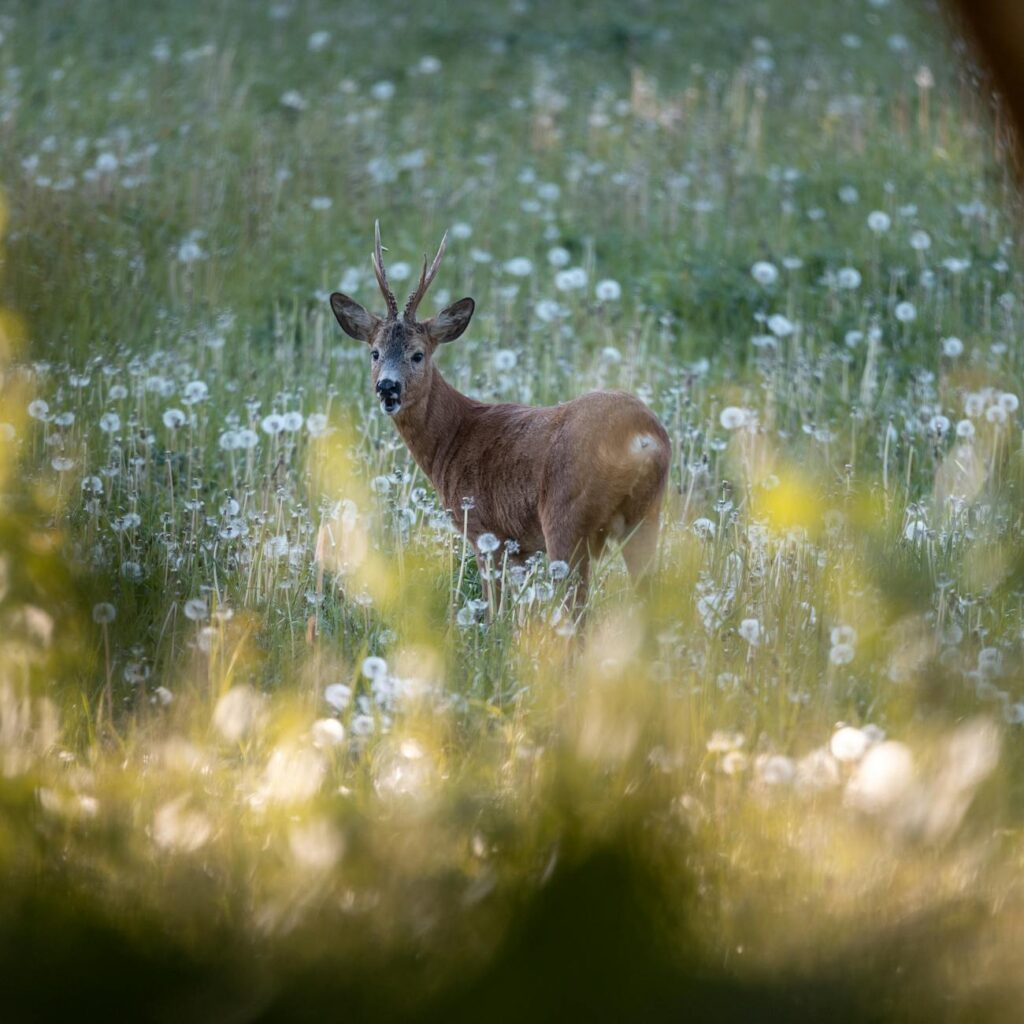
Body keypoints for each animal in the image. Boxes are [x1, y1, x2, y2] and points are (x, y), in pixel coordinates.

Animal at [329, 224, 671, 606]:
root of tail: (641, 435)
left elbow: (493, 606)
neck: (453, 436)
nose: (388, 387)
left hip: (565, 517)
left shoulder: (483, 530)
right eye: (374, 352)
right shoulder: (519, 546)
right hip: (647, 516)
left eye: (418, 354)